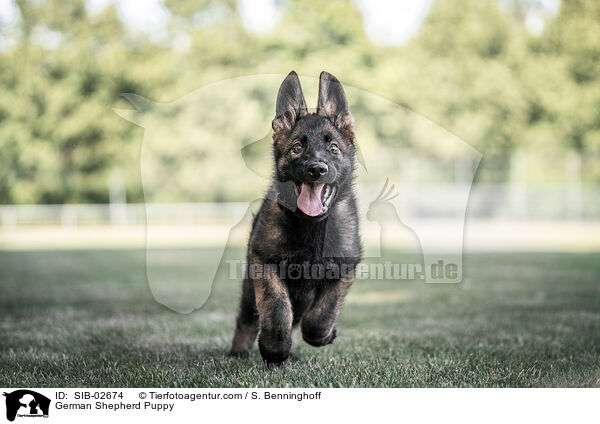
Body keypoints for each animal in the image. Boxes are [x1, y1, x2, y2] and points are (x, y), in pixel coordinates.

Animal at [230, 71, 360, 362]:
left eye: (333, 148)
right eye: (297, 148)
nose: (316, 169)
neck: (311, 227)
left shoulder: (344, 269)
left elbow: (321, 315)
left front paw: (323, 335)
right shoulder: (264, 262)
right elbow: (277, 309)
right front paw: (275, 349)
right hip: (248, 292)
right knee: (247, 320)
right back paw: (238, 352)